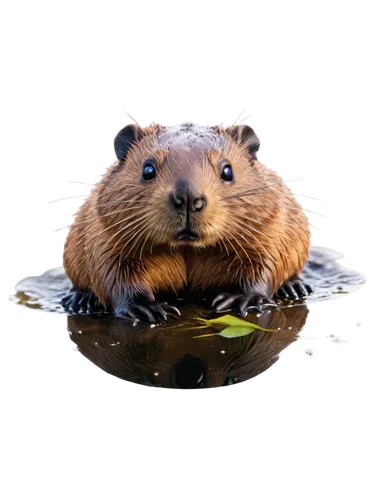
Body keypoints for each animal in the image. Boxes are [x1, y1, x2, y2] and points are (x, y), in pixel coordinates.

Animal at [61, 119, 312, 322]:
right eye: (148, 168)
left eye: (228, 170)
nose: (189, 198)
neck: (187, 248)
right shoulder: (104, 229)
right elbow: (111, 271)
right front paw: (145, 309)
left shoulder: (270, 222)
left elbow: (267, 260)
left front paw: (245, 299)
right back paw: (80, 300)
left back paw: (294, 287)